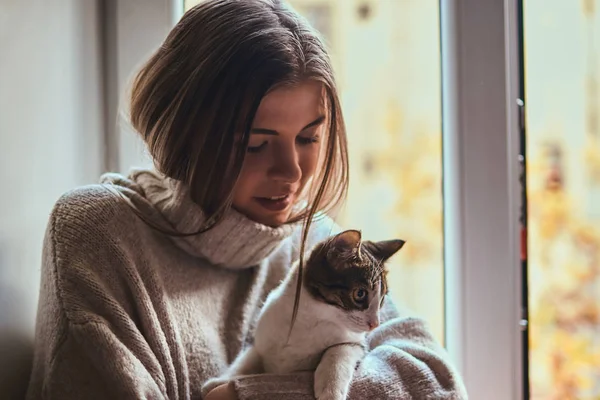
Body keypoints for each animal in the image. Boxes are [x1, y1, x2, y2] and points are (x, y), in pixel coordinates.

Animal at [202, 228, 404, 400]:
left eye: (382, 299)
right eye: (360, 294)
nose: (375, 323)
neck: (310, 319)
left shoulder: (356, 343)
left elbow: (339, 350)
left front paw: (331, 390)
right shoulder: (264, 338)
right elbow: (248, 358)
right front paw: (223, 379)